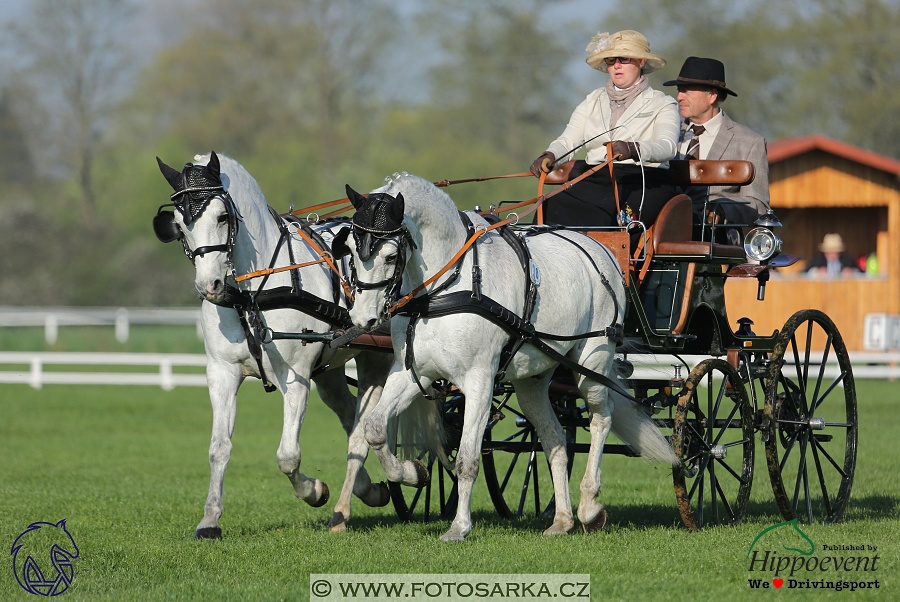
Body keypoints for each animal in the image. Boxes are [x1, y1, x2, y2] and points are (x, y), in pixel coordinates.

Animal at [156, 150, 404, 536]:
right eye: (180, 225)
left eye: (222, 216)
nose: (209, 286)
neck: (253, 294)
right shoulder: (222, 373)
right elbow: (218, 447)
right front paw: (210, 519)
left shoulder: (296, 378)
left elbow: (288, 456)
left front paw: (314, 491)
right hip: (329, 370)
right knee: (350, 415)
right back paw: (370, 490)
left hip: (375, 358)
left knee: (361, 431)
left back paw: (353, 504)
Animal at [342, 172, 680, 540]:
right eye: (350, 251)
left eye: (390, 256)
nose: (362, 319)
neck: (445, 287)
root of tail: (601, 249)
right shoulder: (411, 372)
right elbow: (374, 428)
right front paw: (411, 473)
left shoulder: (479, 380)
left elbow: (467, 458)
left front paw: (459, 527)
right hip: (533, 380)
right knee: (554, 437)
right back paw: (562, 520)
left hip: (592, 362)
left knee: (600, 419)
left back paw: (589, 506)